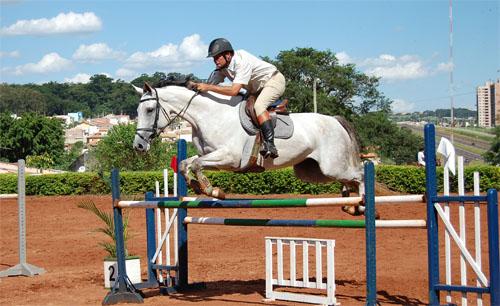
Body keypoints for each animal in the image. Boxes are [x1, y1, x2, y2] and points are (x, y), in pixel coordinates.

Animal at [133, 81, 366, 214]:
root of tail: (335, 120)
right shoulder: (213, 157)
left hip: (333, 166)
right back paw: (350, 205)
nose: (138, 145)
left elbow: (197, 164)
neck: (210, 116)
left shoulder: (230, 157)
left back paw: (361, 205)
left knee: (361, 174)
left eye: (150, 109)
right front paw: (196, 186)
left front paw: (212, 190)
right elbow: (185, 163)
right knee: (350, 180)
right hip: (313, 172)